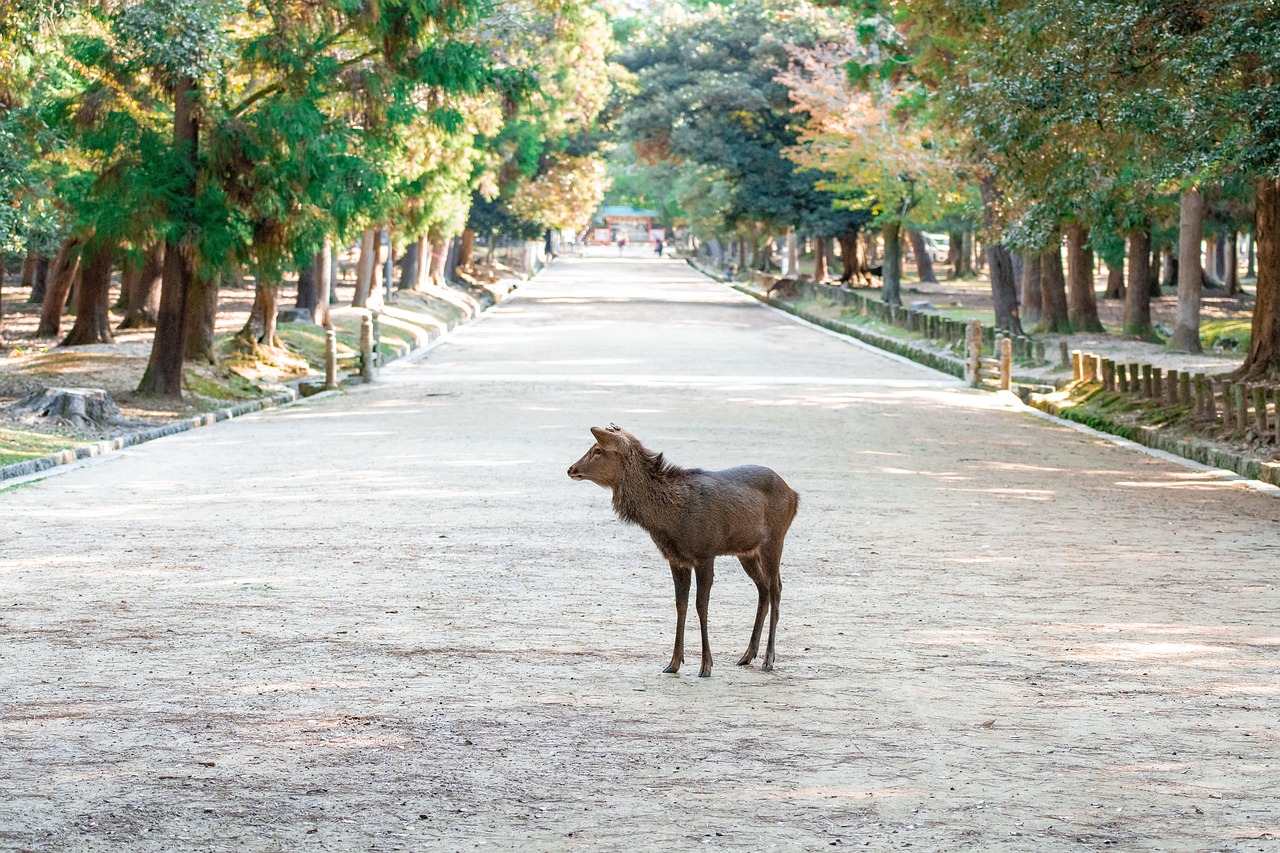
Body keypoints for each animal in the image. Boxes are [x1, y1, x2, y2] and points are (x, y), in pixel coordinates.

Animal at [567, 426, 799, 677]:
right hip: (746, 551)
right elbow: (681, 605)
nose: (571, 469)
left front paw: (706, 666)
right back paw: (747, 655)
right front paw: (673, 663)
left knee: (776, 587)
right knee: (763, 588)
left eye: (597, 450)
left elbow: (701, 605)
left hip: (775, 539)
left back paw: (768, 659)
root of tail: (794, 495)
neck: (669, 520)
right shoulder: (676, 559)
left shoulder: (705, 552)